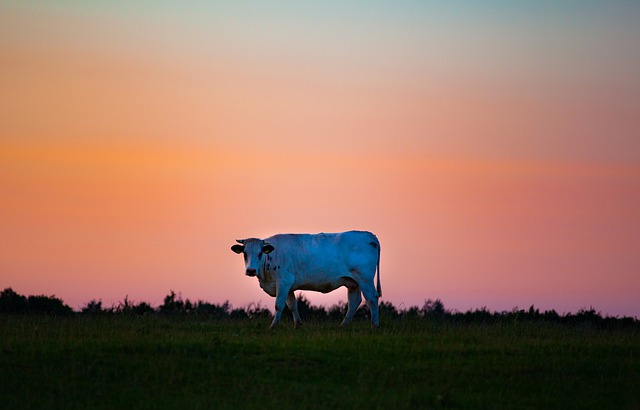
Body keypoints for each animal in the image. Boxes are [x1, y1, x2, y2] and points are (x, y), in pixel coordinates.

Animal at [230, 231, 380, 330]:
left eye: (260, 253)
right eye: (245, 254)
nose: (251, 270)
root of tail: (369, 234)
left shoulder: (283, 282)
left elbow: (279, 305)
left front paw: (273, 326)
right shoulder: (288, 286)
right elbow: (292, 305)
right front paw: (298, 325)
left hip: (365, 278)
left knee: (372, 298)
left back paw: (374, 325)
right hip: (353, 282)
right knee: (354, 301)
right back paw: (344, 325)